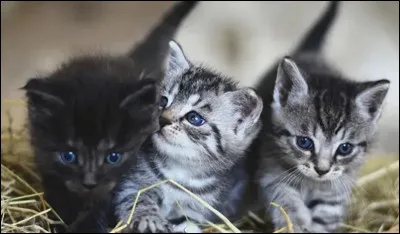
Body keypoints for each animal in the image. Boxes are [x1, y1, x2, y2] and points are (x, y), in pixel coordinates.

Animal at [111, 40, 262, 232]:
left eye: (194, 118)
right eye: (163, 101)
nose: (162, 119)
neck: (180, 171)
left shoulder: (202, 209)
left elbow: (188, 222)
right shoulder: (131, 184)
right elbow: (137, 199)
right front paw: (149, 219)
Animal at [253, 1, 390, 232]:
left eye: (345, 148)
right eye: (304, 142)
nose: (322, 170)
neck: (312, 183)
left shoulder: (336, 189)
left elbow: (326, 216)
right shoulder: (270, 169)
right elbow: (285, 198)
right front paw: (296, 222)